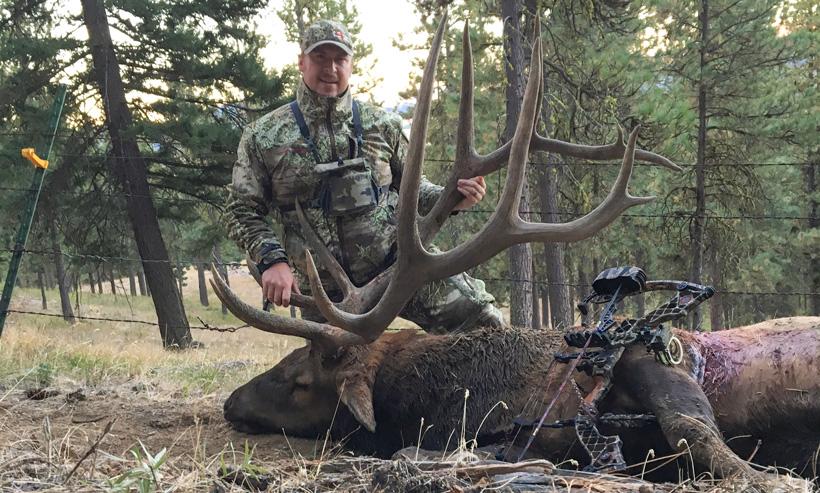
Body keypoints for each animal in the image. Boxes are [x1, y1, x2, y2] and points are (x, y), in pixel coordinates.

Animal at [212, 13, 820, 485]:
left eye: (299, 379)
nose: (230, 402)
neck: (471, 397)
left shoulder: (643, 363)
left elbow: (693, 431)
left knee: (717, 452)